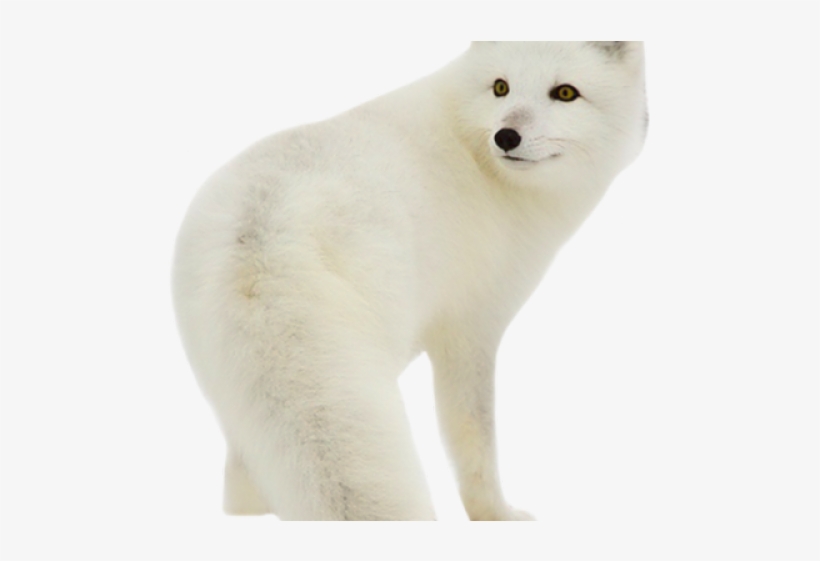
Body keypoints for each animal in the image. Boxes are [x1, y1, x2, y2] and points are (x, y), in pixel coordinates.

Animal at [172, 41, 647, 520]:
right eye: (501, 87)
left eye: (565, 93)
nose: (506, 137)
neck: (476, 158)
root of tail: (264, 228)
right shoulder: (471, 331)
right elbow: (476, 441)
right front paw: (495, 515)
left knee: (242, 473)